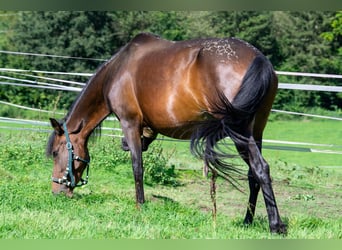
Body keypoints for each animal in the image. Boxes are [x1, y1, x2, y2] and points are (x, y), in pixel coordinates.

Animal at [45, 32, 286, 233]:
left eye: (56, 153)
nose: (56, 192)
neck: (116, 71)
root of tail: (258, 58)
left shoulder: (129, 123)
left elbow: (137, 167)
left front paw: (140, 206)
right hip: (256, 132)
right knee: (253, 175)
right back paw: (248, 221)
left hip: (239, 133)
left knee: (260, 169)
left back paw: (276, 226)